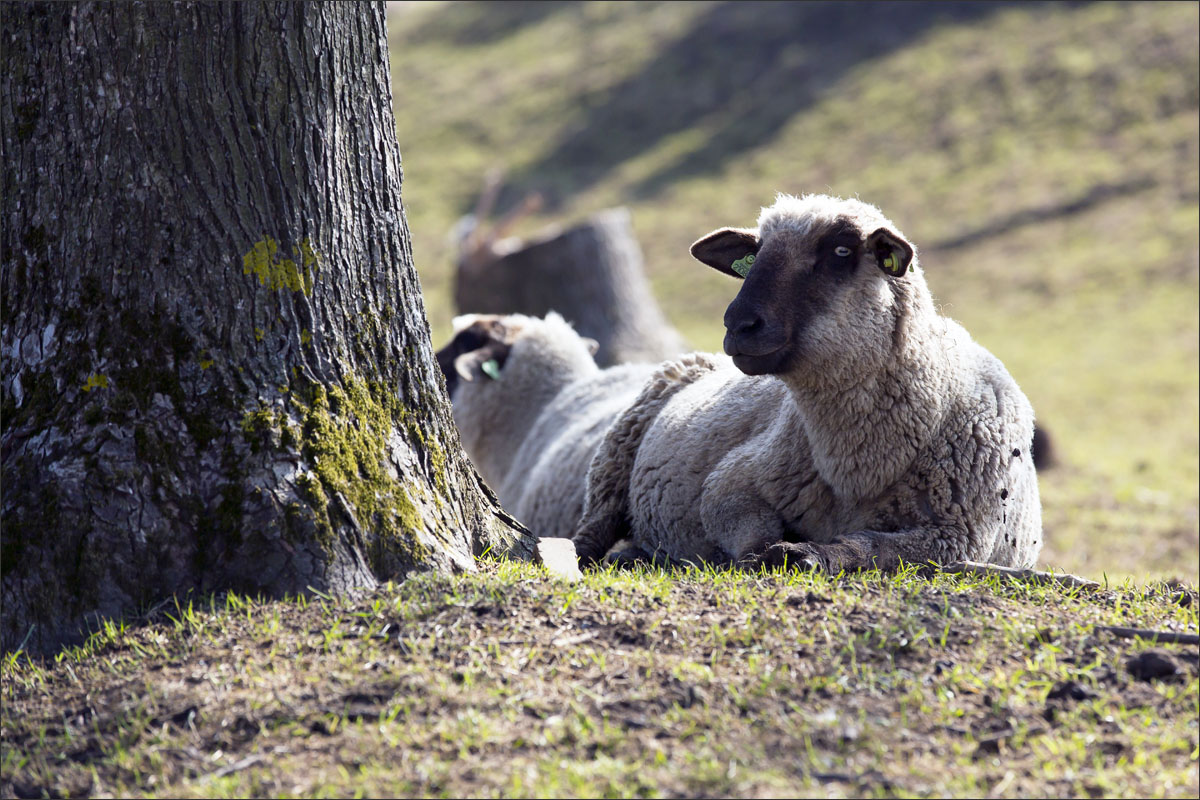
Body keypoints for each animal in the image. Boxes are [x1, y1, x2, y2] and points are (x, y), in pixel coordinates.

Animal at [571, 191, 1041, 568]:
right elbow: (751, 531)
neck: (858, 470)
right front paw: (753, 555)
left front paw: (808, 554)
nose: (738, 324)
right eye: (754, 255)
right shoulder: (730, 482)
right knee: (591, 531)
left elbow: (869, 545)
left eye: (841, 250)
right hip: (613, 462)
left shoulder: (956, 536)